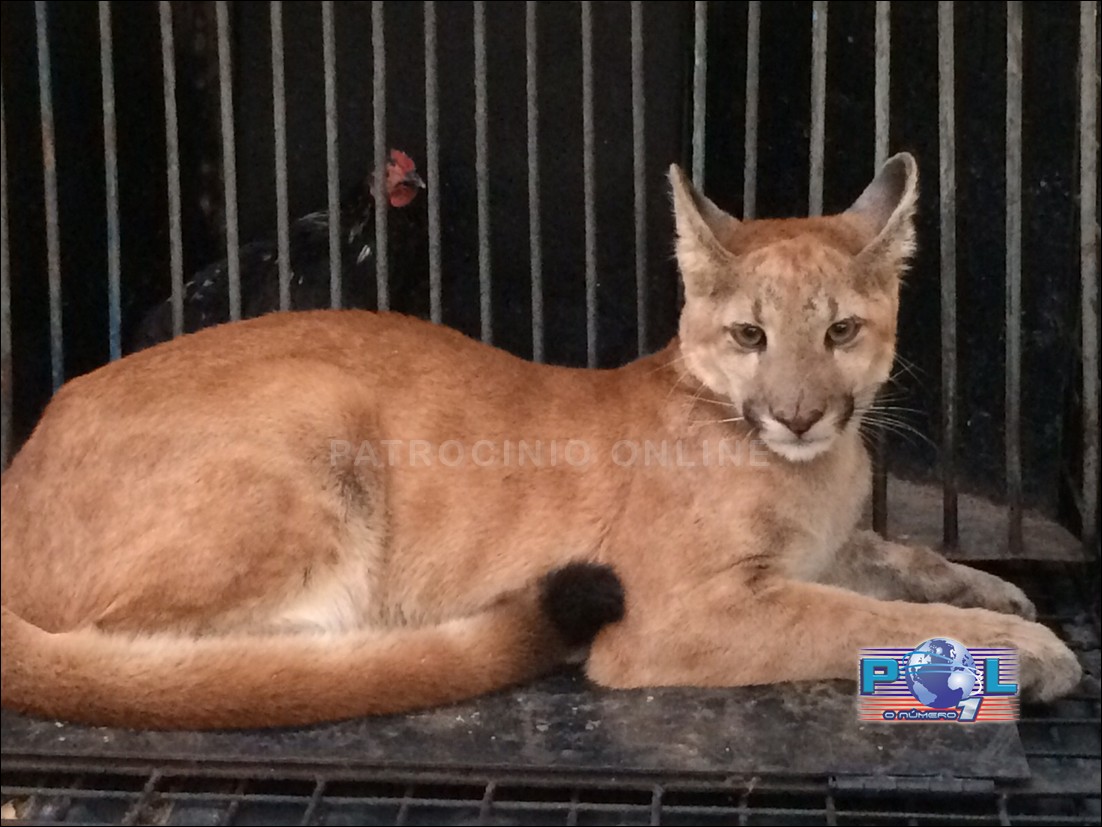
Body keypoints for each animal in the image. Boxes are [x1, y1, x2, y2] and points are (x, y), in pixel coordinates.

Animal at [0, 153, 1081, 730]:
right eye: (750, 335)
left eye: (843, 331)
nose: (799, 413)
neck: (813, 469)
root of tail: (27, 449)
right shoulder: (685, 607)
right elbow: (854, 616)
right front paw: (1024, 648)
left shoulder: (824, 545)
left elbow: (895, 555)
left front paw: (991, 590)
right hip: (314, 412)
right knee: (172, 649)